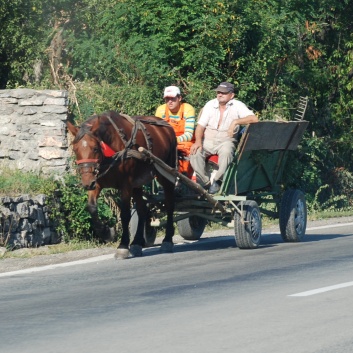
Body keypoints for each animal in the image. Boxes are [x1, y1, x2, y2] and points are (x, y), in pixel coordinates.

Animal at [66, 110, 176, 258]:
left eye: (95, 148)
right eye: (75, 149)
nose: (87, 183)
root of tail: (167, 126)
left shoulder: (125, 186)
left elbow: (125, 214)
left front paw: (123, 245)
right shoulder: (97, 183)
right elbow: (92, 208)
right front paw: (106, 232)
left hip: (165, 173)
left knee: (169, 204)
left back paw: (167, 240)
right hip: (137, 183)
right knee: (142, 209)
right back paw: (137, 243)